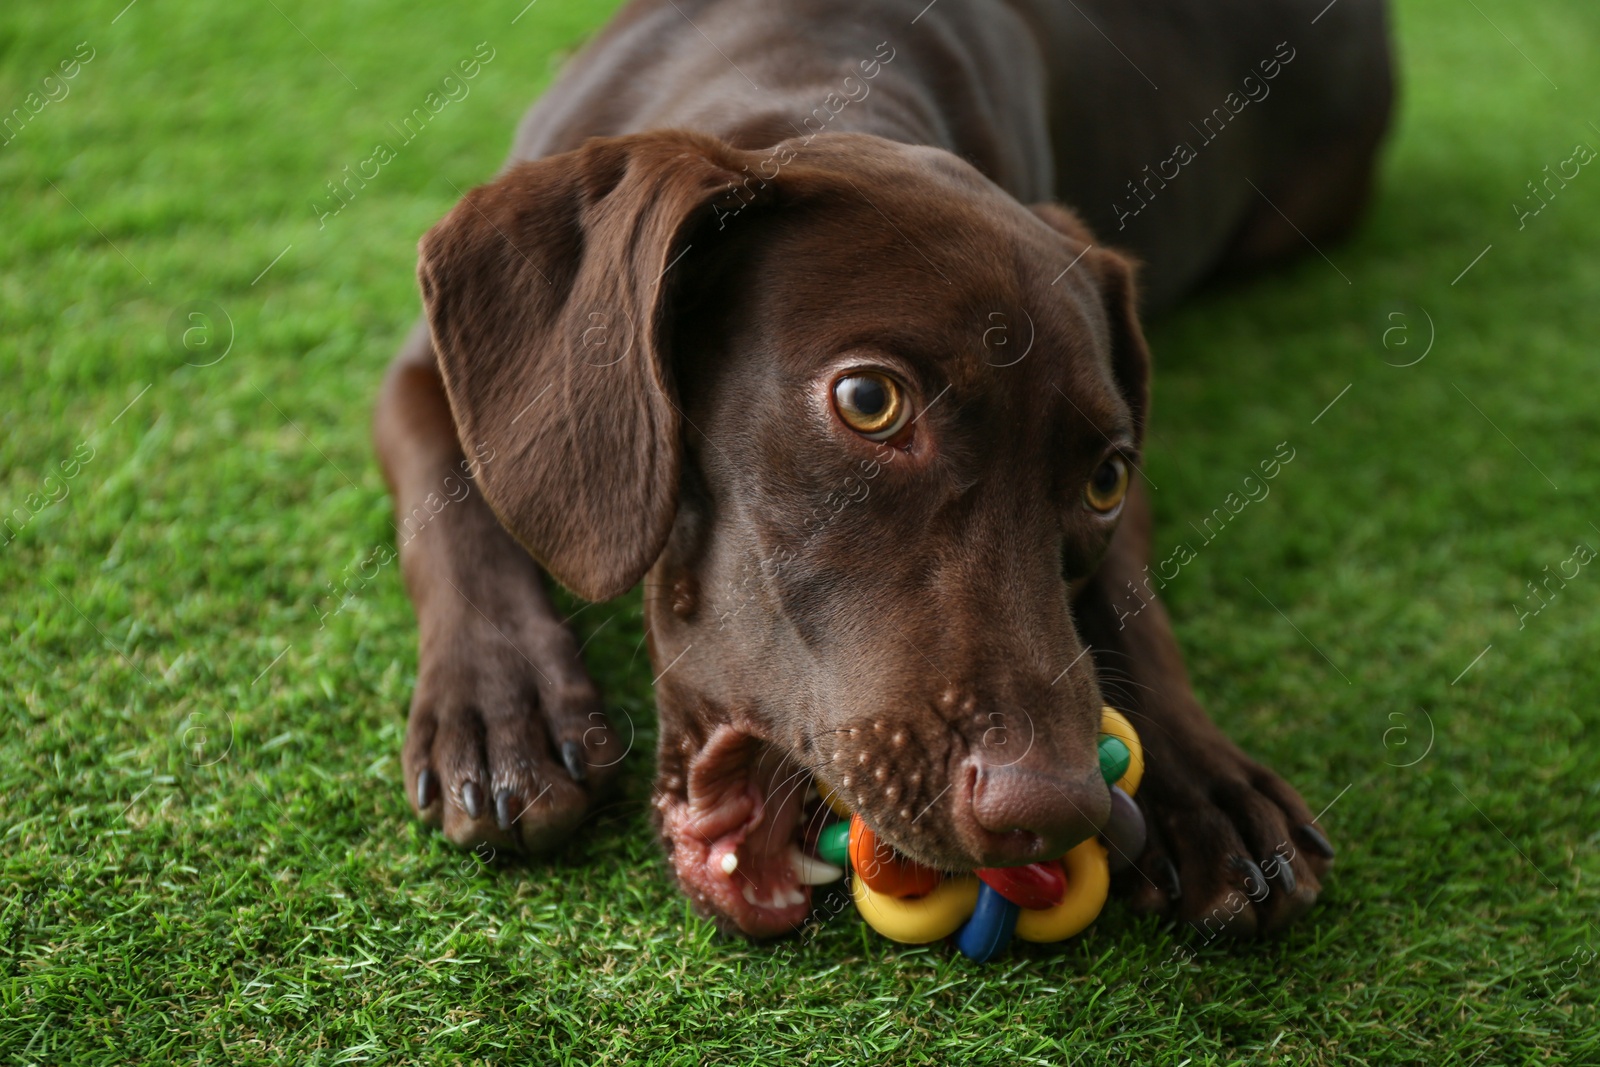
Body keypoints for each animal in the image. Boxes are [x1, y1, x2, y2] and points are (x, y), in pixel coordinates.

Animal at [371, 0, 1388, 940]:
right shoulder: (424, 375)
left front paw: (1208, 785)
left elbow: (1131, 597)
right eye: (869, 400)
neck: (812, 64)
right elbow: (454, 515)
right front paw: (503, 704)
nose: (1054, 808)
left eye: (1105, 480)